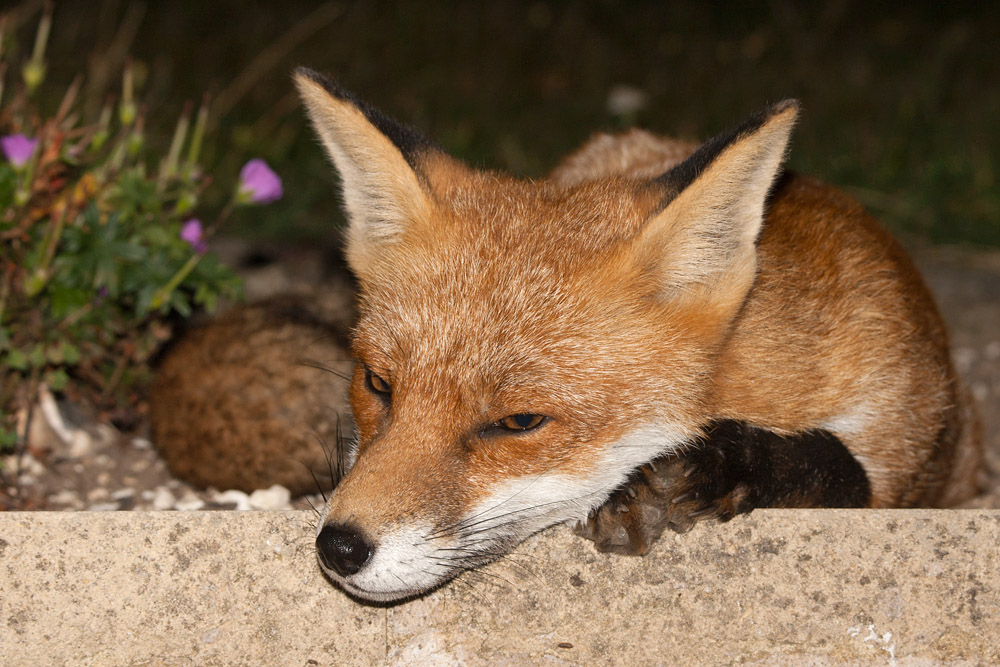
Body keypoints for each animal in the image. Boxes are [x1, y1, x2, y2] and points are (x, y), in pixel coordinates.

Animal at [294, 67, 982, 603]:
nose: (340, 547)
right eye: (377, 384)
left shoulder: (906, 439)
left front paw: (701, 471)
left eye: (519, 423)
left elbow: (839, 465)